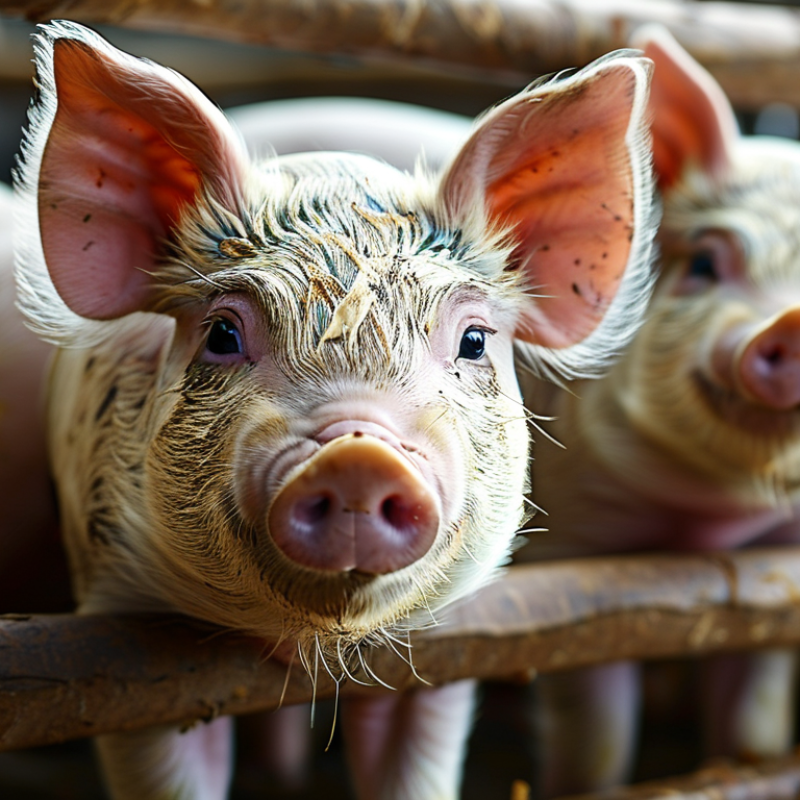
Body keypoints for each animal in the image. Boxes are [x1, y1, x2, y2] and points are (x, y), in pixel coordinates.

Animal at [515, 26, 800, 796]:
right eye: (703, 265)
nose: (789, 322)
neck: (706, 531)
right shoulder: (575, 554)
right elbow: (599, 733)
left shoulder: (773, 568)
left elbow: (753, 713)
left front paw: (746, 766)